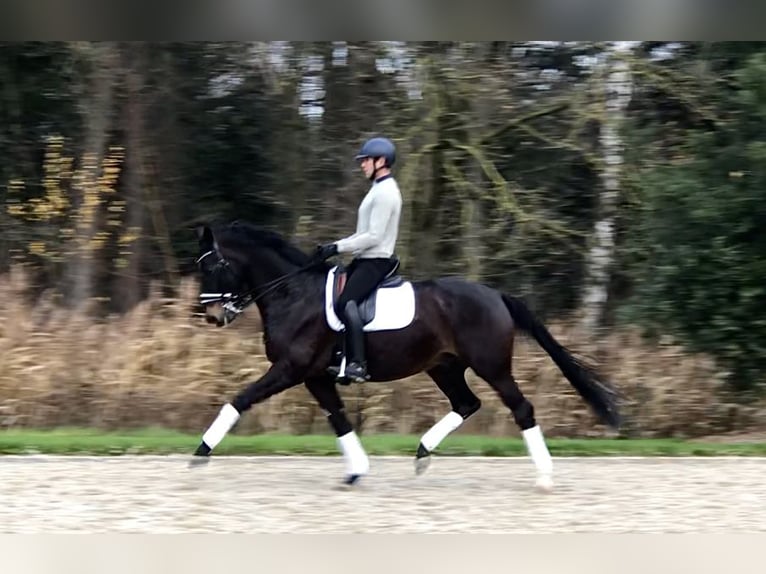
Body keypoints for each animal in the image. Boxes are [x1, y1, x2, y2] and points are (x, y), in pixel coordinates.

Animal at [191, 220, 621, 492]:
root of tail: (495, 295)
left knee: (522, 409)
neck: (292, 294)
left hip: (492, 367)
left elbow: (239, 400)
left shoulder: (290, 369)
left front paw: (199, 455)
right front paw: (357, 472)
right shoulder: (315, 375)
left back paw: (544, 477)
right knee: (466, 404)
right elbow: (339, 419)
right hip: (444, 367)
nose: (212, 315)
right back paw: (422, 453)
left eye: (214, 266)